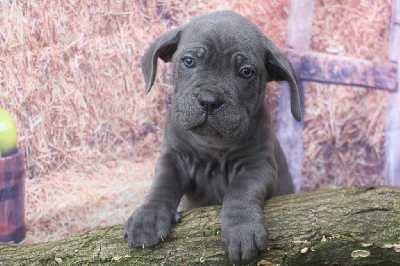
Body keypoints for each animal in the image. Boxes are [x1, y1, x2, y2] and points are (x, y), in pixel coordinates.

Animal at [125, 9, 300, 262]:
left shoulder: (259, 166)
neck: (212, 145)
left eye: (246, 72)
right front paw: (149, 215)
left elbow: (241, 187)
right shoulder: (173, 157)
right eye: (189, 61)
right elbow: (163, 182)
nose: (209, 100)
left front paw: (242, 228)